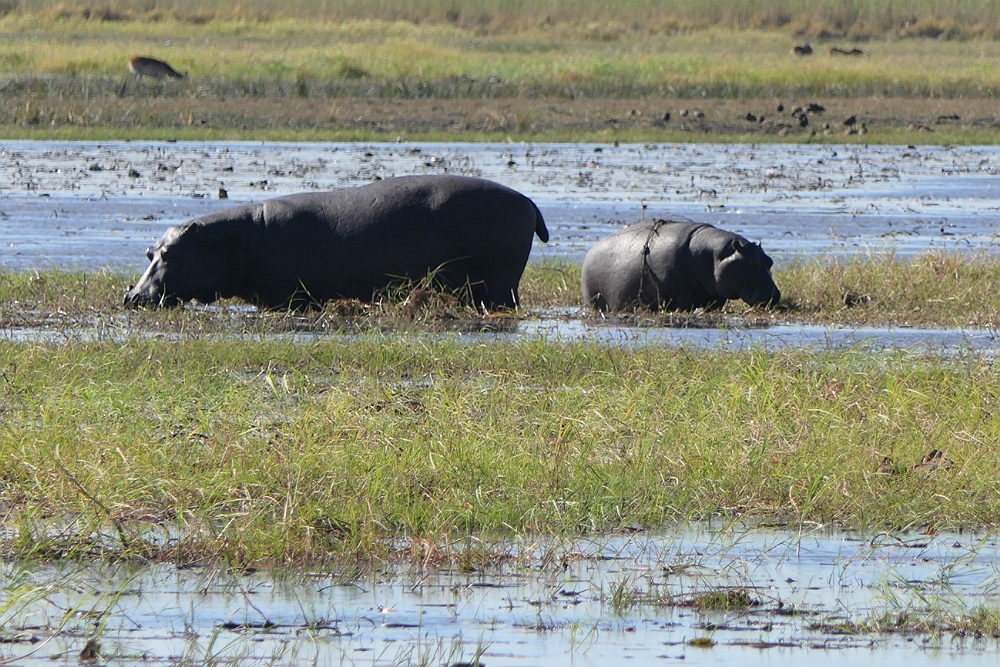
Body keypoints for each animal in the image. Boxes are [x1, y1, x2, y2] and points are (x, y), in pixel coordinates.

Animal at [124, 175, 548, 310]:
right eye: (148, 251)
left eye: (168, 252)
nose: (131, 295)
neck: (231, 239)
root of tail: (527, 200)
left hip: (499, 282)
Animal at [581, 220, 780, 312]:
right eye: (752, 264)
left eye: (770, 261)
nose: (775, 295)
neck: (714, 255)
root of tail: (590, 252)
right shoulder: (681, 297)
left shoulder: (715, 298)